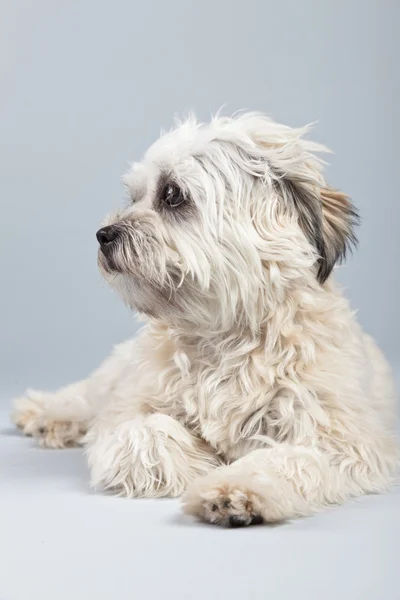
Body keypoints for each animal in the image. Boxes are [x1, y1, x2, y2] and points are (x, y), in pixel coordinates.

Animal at [11, 111, 396, 524]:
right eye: (134, 197)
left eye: (172, 194)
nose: (103, 234)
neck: (225, 334)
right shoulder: (128, 409)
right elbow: (145, 431)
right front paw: (196, 459)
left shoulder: (341, 442)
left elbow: (286, 460)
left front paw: (234, 489)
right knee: (89, 393)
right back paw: (45, 412)